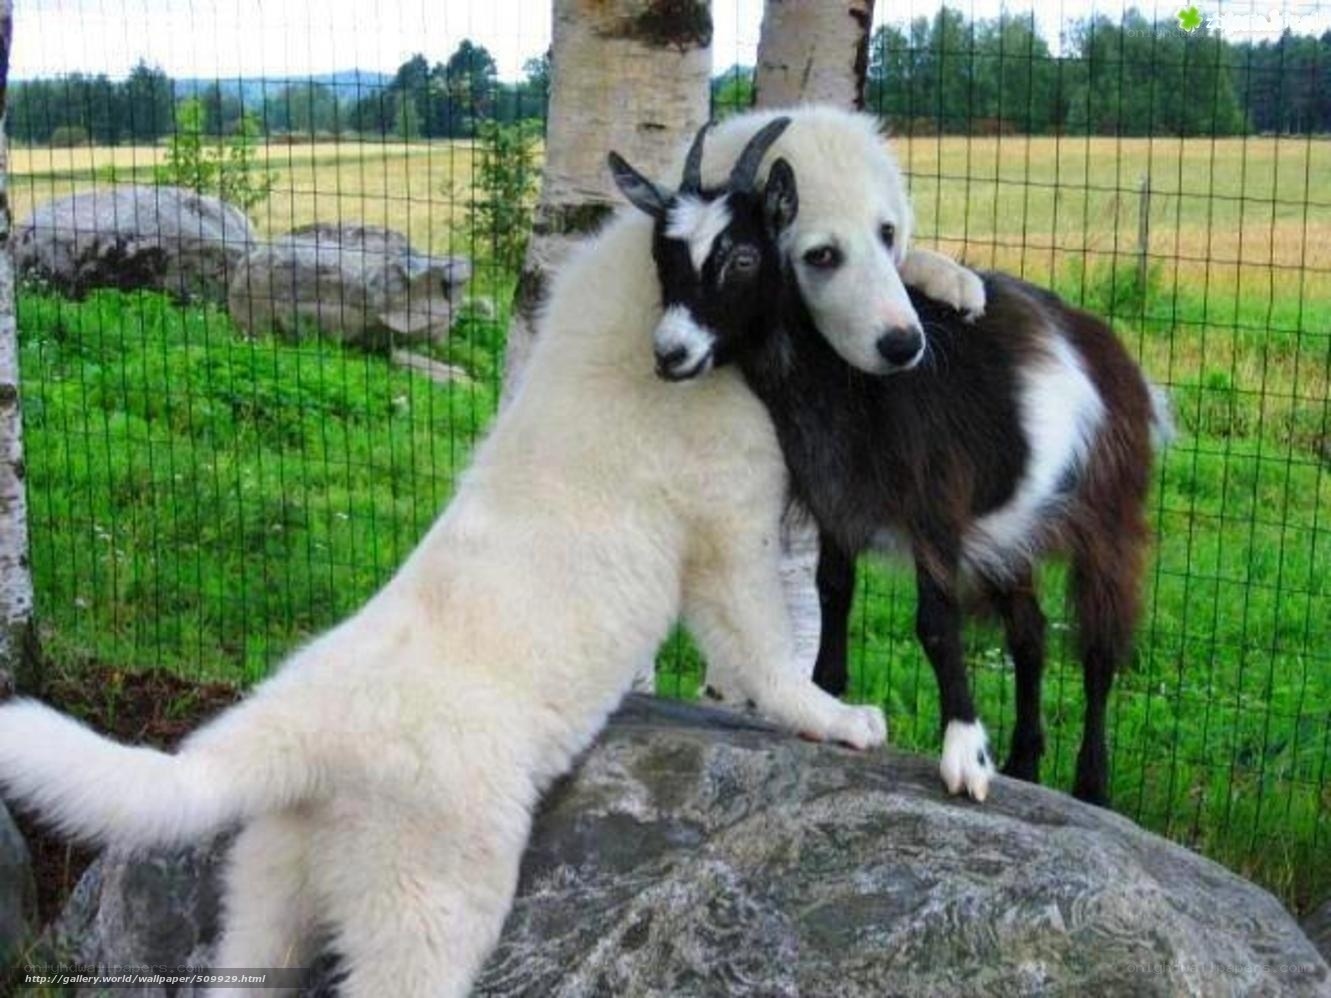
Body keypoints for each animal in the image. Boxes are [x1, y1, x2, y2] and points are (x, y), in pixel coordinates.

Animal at [612, 117, 1171, 805]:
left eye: (742, 256)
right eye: (662, 256)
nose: (671, 353)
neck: (845, 384)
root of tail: (1115, 355)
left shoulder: (936, 511)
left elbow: (936, 622)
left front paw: (965, 754)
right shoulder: (836, 501)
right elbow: (833, 590)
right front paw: (832, 698)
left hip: (1108, 514)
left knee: (1098, 649)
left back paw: (1090, 785)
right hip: (1014, 530)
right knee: (1030, 634)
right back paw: (1025, 763)